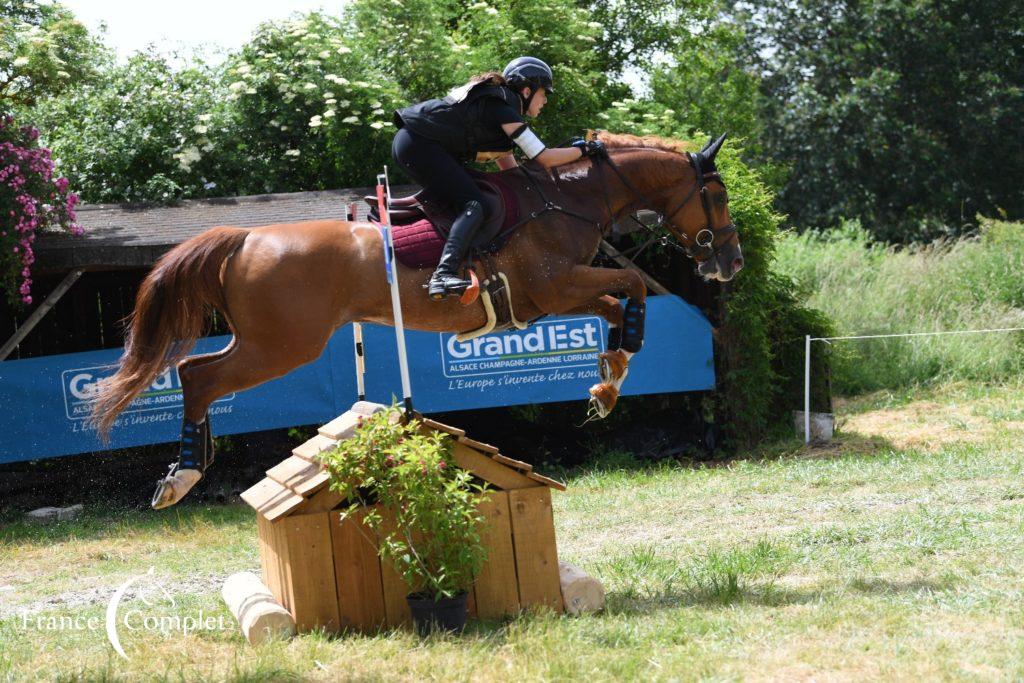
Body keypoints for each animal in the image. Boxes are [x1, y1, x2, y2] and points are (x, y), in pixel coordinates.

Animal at [92, 132, 741, 507]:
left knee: (194, 372)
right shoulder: (554, 286)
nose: (730, 263)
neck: (568, 199)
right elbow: (631, 285)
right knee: (200, 376)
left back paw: (184, 470)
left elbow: (614, 305)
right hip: (284, 345)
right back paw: (183, 477)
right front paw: (621, 357)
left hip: (268, 340)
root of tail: (247, 236)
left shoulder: (548, 302)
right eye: (719, 196)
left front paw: (608, 378)